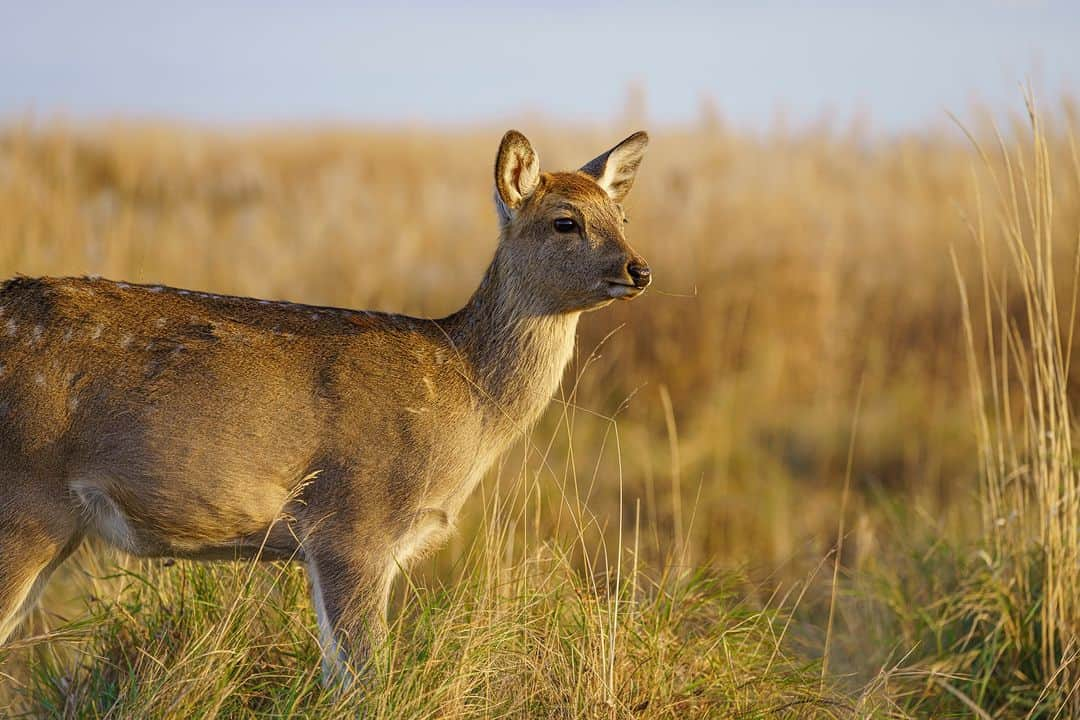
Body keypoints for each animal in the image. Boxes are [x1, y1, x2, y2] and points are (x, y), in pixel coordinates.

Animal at [0, 129, 648, 686]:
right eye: (565, 221)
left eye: (622, 218)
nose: (639, 269)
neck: (467, 393)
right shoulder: (353, 522)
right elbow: (366, 680)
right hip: (25, 500)